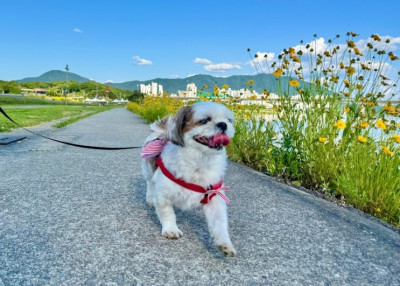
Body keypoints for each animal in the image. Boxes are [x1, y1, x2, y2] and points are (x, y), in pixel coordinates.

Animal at [141, 101, 236, 256]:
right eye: (204, 120)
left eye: (229, 120)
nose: (223, 124)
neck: (199, 163)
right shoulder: (163, 195)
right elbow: (167, 213)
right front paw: (171, 229)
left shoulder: (214, 197)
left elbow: (219, 223)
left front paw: (225, 244)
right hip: (148, 168)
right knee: (150, 183)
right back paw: (149, 198)